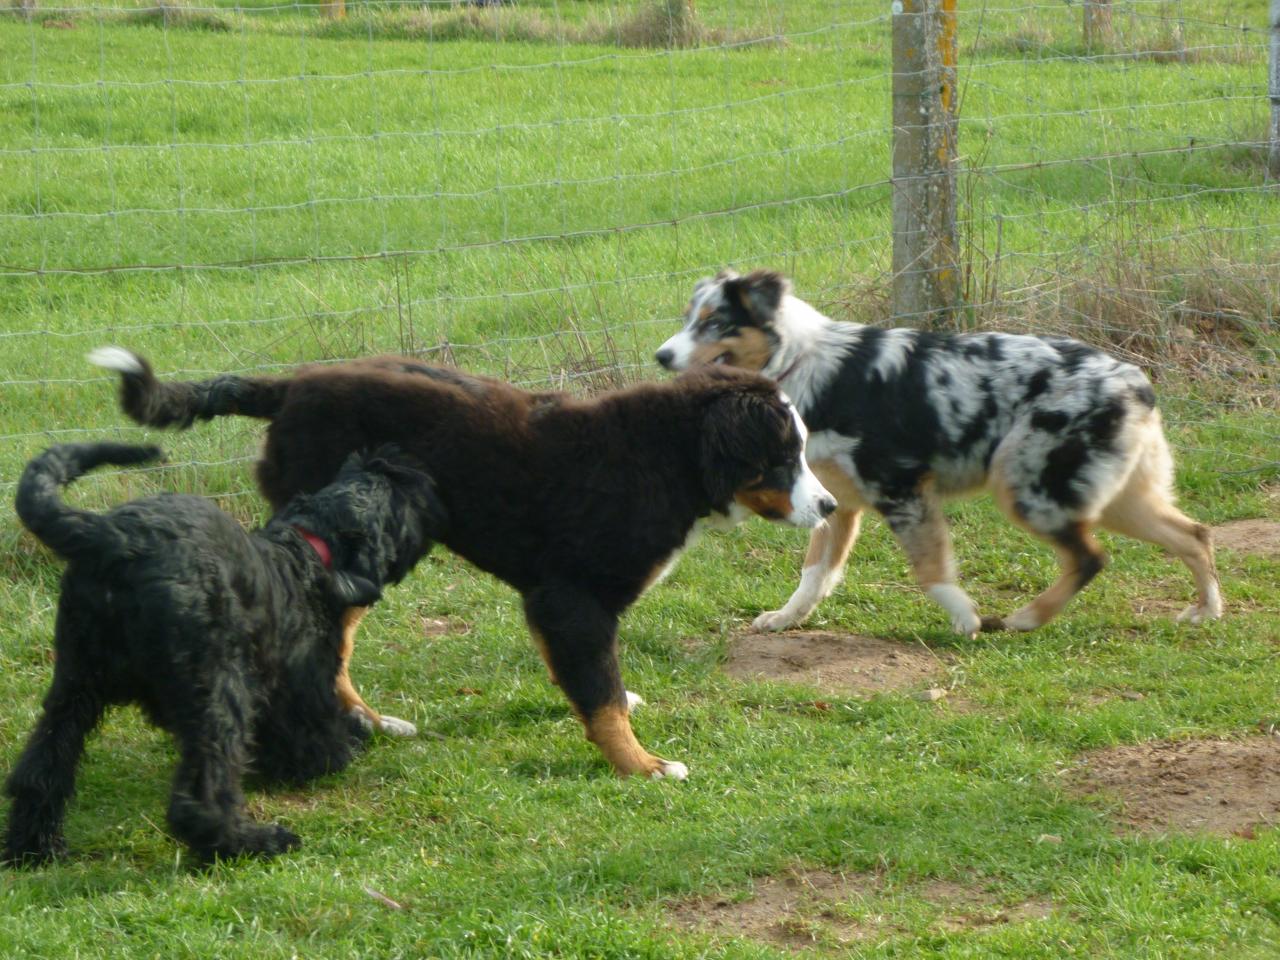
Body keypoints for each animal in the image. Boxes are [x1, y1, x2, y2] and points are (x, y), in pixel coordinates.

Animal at [5, 442, 445, 865]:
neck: (308, 554)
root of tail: (114, 538)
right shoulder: (305, 681)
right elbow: (317, 729)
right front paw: (339, 751)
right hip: (217, 689)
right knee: (202, 793)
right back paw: (249, 842)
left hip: (75, 680)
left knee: (43, 765)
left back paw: (35, 847)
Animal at [85, 350, 834, 783]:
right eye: (784, 456)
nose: (828, 506)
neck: (662, 458)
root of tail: (294, 385)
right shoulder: (572, 599)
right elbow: (598, 697)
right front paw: (642, 765)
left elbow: (598, 685)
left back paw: (377, 723)